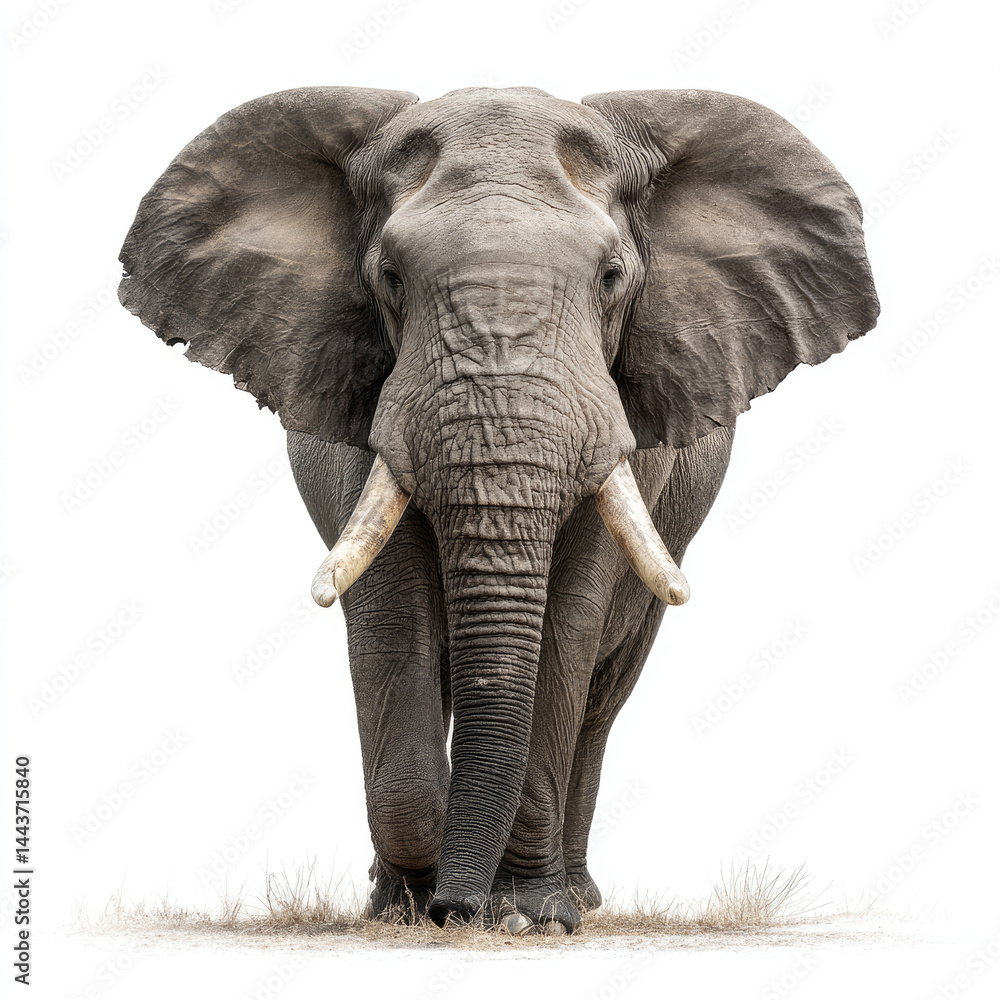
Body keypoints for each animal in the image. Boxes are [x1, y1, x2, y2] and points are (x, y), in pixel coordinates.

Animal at [118, 85, 878, 934]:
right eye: (389, 277)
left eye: (612, 276)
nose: (455, 905)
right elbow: (390, 615)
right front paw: (414, 904)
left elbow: (568, 619)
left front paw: (524, 917)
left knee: (602, 697)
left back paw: (573, 897)